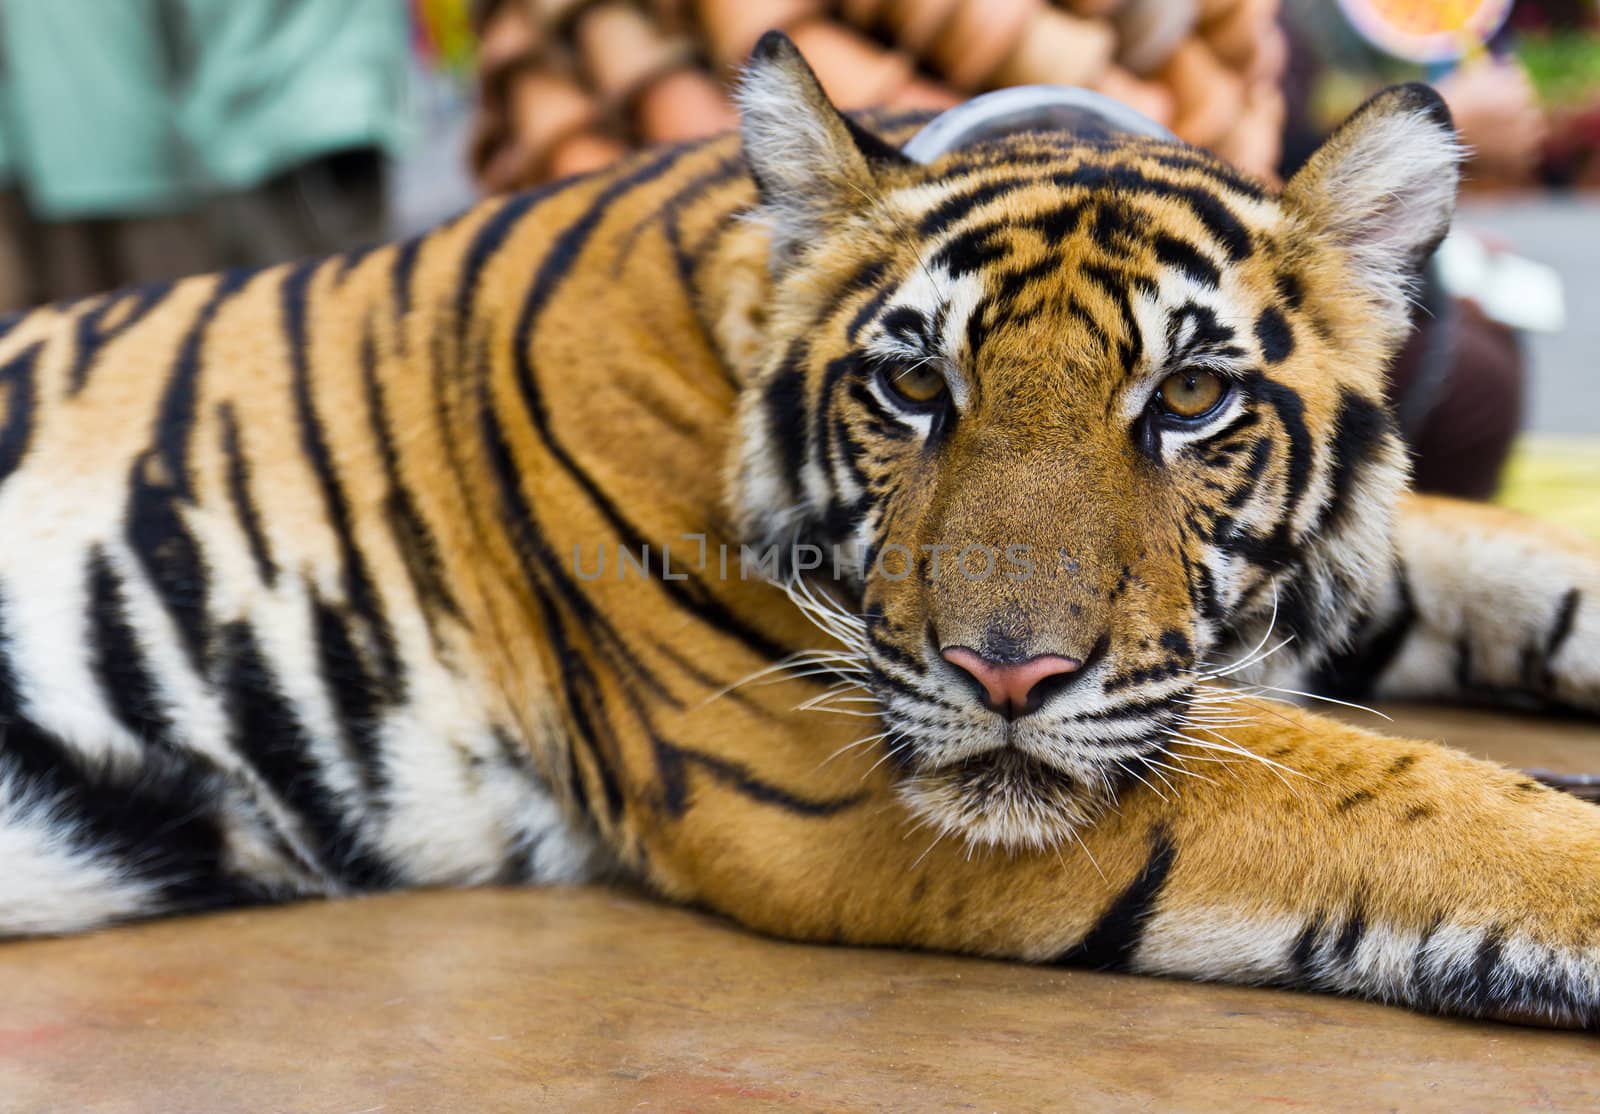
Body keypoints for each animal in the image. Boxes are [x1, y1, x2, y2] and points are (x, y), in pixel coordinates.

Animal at [3, 30, 1600, 1030]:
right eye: (913, 384)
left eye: (1190, 396)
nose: (1006, 676)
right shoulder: (819, 766)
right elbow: (1399, 794)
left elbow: (1518, 564)